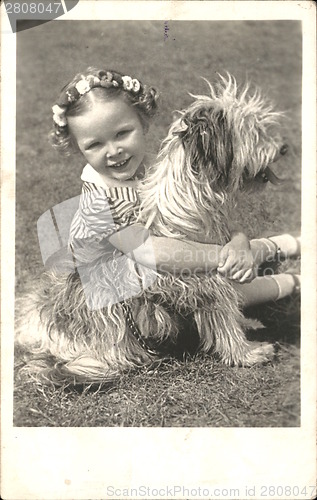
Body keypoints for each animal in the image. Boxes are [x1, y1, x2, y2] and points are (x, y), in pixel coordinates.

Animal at [16, 75, 286, 386]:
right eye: (255, 131)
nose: (284, 148)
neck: (192, 196)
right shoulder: (208, 282)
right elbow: (225, 320)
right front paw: (248, 353)